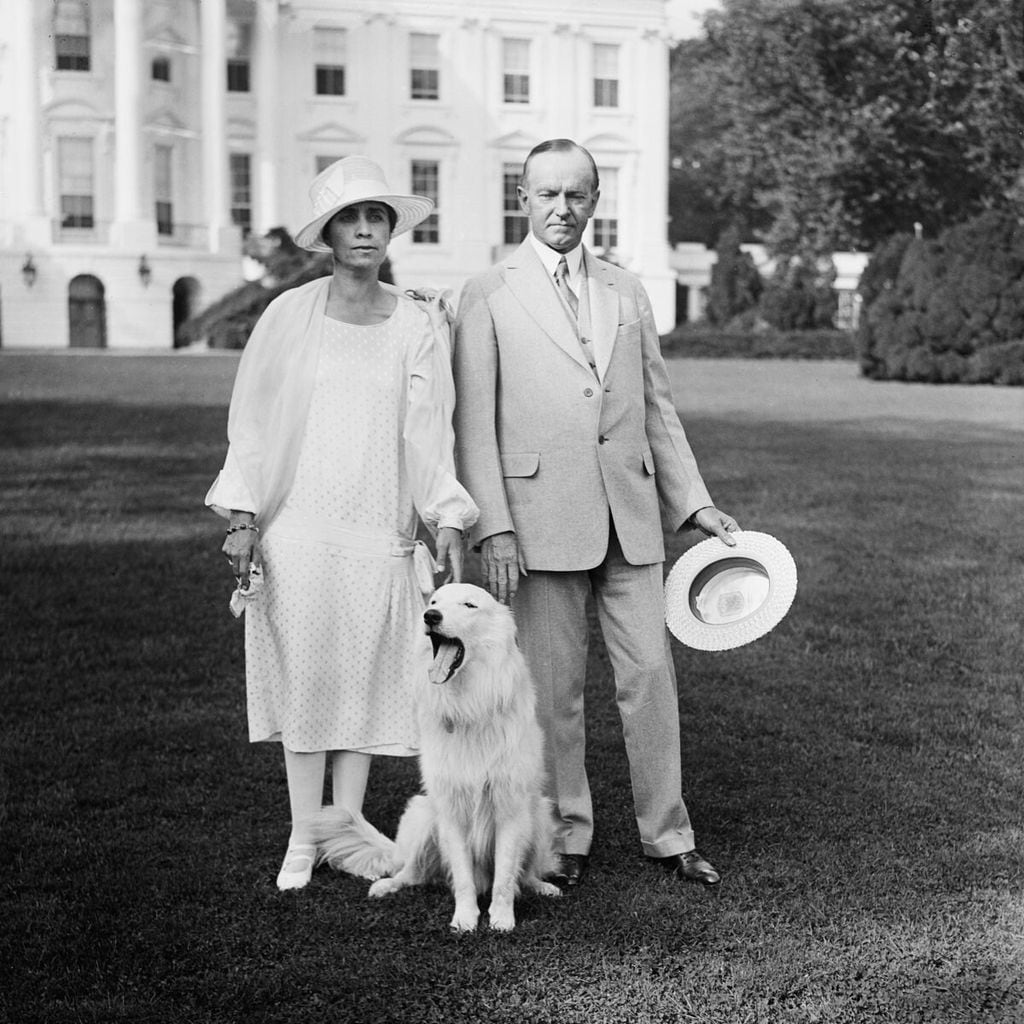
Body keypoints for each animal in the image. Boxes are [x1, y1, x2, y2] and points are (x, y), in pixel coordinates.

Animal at [317, 585, 561, 929]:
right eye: (434, 601)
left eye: (469, 605)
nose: (430, 616)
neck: (468, 706)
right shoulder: (451, 812)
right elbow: (462, 878)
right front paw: (465, 919)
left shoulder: (509, 808)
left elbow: (504, 878)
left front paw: (501, 919)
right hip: (424, 817)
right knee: (411, 872)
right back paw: (386, 885)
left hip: (538, 815)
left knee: (523, 875)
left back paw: (541, 886)